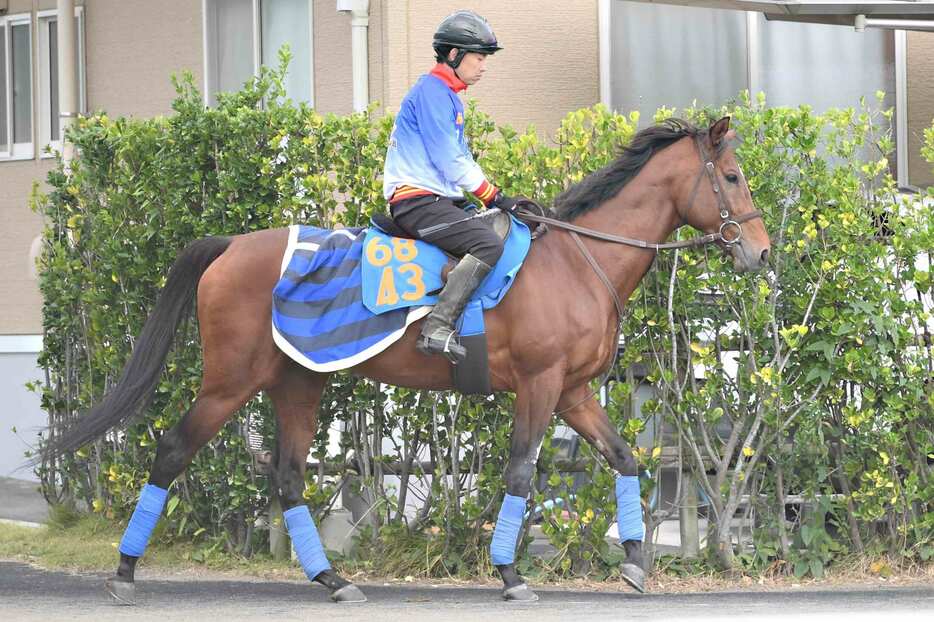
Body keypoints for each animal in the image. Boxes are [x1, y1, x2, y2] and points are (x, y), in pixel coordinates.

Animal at [44, 116, 772, 604]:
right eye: (733, 177)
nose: (761, 251)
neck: (577, 258)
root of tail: (229, 246)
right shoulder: (539, 385)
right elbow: (520, 471)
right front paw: (510, 574)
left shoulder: (573, 391)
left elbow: (623, 458)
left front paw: (634, 563)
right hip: (229, 381)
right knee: (172, 451)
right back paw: (125, 574)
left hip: (296, 383)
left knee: (288, 477)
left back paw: (333, 579)